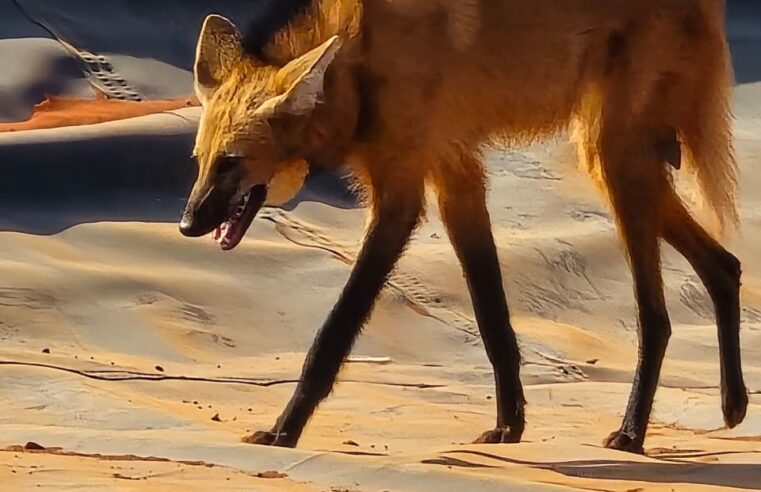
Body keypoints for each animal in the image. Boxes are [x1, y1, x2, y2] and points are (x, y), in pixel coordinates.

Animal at [178, 0, 747, 453]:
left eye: (231, 164)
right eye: (200, 162)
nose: (186, 224)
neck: (360, 62)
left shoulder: (402, 197)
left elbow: (334, 332)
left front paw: (284, 430)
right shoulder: (456, 176)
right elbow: (493, 318)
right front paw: (509, 425)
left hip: (615, 159)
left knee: (657, 317)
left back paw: (632, 433)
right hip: (612, 161)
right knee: (725, 265)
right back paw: (733, 403)